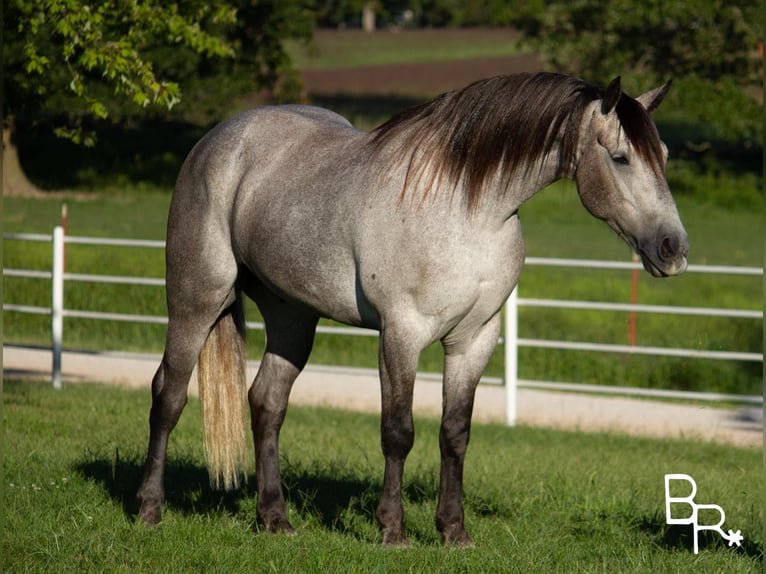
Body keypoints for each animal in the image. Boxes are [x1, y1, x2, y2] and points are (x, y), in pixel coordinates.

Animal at [135, 73, 692, 548]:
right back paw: (149, 509)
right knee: (169, 395)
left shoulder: (474, 340)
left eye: (663, 154)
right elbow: (398, 431)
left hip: (292, 316)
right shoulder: (401, 333)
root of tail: (217, 140)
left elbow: (455, 434)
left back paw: (275, 519)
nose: (674, 249)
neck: (468, 210)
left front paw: (454, 531)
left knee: (267, 403)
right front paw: (393, 531)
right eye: (620, 157)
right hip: (196, 299)